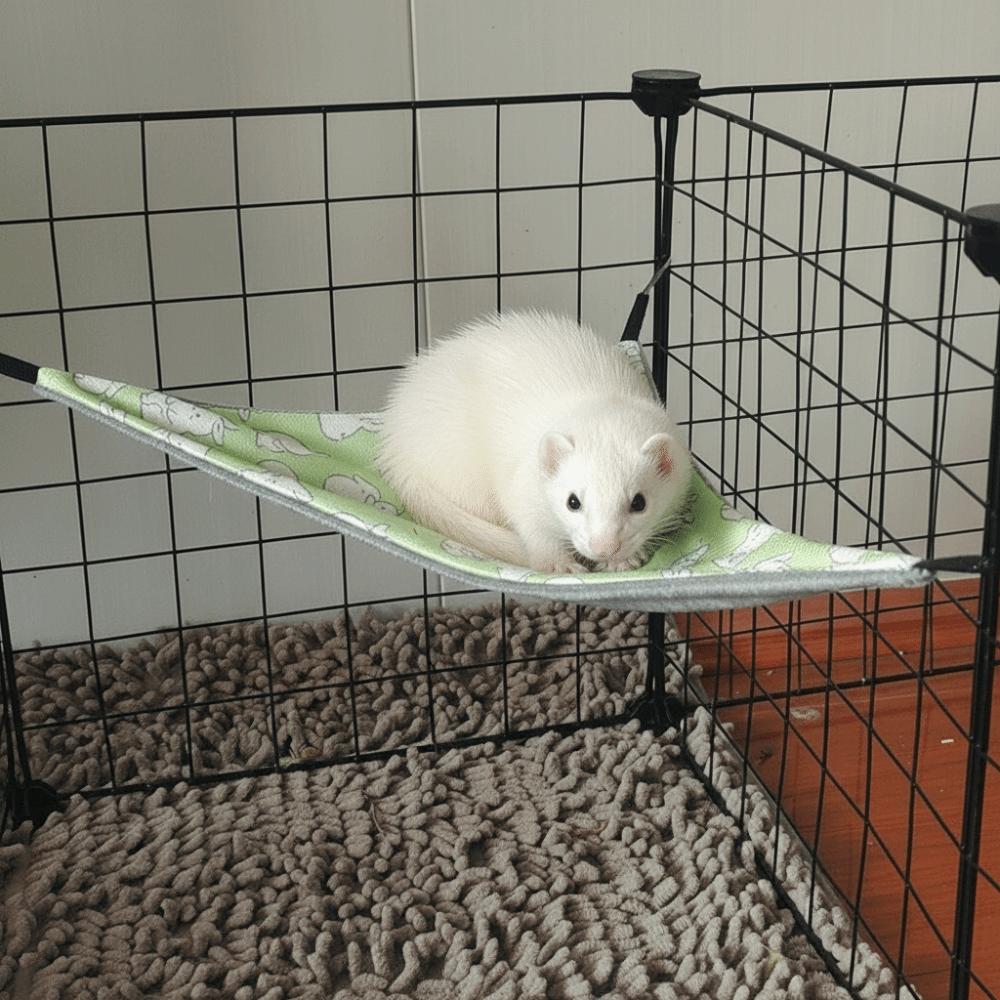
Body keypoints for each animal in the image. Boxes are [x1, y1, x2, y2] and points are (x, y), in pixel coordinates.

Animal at [377, 311, 692, 573]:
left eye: (639, 502)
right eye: (573, 501)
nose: (604, 547)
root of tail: (395, 443)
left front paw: (625, 559)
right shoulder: (522, 487)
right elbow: (532, 527)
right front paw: (558, 563)